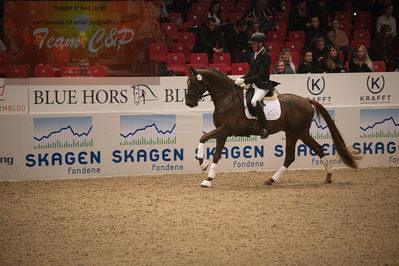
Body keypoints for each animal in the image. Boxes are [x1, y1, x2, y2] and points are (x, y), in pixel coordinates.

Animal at [186, 66, 360, 187]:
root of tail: (306, 100)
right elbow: (216, 155)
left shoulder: (227, 129)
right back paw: (328, 176)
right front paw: (208, 179)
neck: (227, 98)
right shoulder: (222, 132)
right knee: (317, 148)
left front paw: (202, 162)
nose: (189, 103)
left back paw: (272, 179)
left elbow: (203, 137)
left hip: (293, 133)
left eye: (194, 83)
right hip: (302, 133)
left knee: (290, 157)